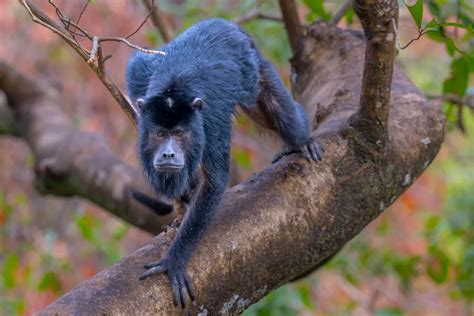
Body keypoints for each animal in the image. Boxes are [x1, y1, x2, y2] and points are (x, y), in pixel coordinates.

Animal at [125, 18, 322, 308]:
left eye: (179, 134)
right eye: (160, 134)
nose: (168, 154)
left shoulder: (209, 118)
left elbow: (215, 181)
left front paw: (174, 260)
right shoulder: (141, 77)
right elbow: (136, 70)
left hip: (254, 68)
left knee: (281, 114)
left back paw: (302, 138)